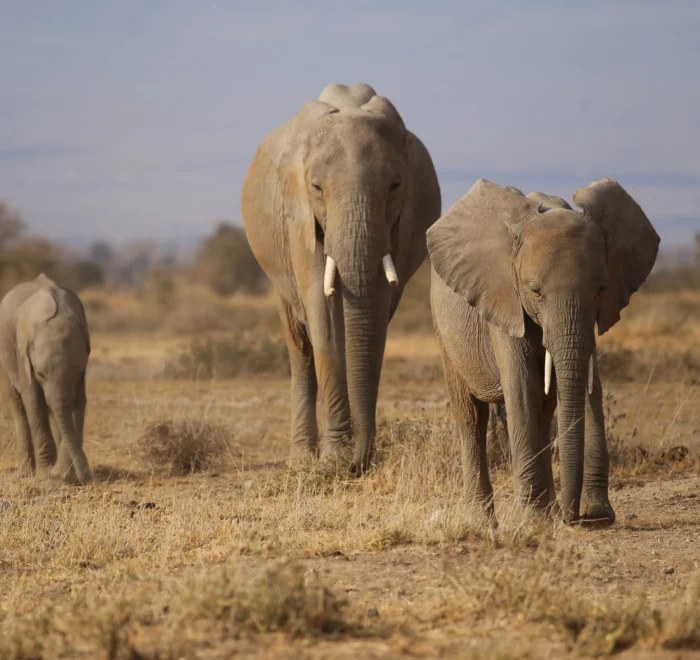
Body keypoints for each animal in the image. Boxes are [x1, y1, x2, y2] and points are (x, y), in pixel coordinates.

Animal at [0, 274, 91, 482]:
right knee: (19, 405)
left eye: (79, 373)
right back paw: (26, 472)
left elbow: (78, 403)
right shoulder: (23, 355)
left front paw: (64, 474)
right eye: (40, 373)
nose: (86, 475)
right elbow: (33, 401)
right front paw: (46, 476)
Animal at [241, 83, 441, 473]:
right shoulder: (299, 217)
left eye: (395, 185)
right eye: (317, 187)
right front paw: (334, 459)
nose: (357, 465)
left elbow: (375, 318)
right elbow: (323, 313)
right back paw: (302, 459)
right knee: (299, 346)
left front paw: (351, 457)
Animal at [427, 178, 659, 524]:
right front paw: (532, 521)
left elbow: (579, 385)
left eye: (601, 290)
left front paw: (582, 516)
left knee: (546, 407)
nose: (574, 517)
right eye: (535, 291)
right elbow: (522, 387)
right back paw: (484, 522)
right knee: (472, 416)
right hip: (444, 328)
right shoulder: (504, 296)